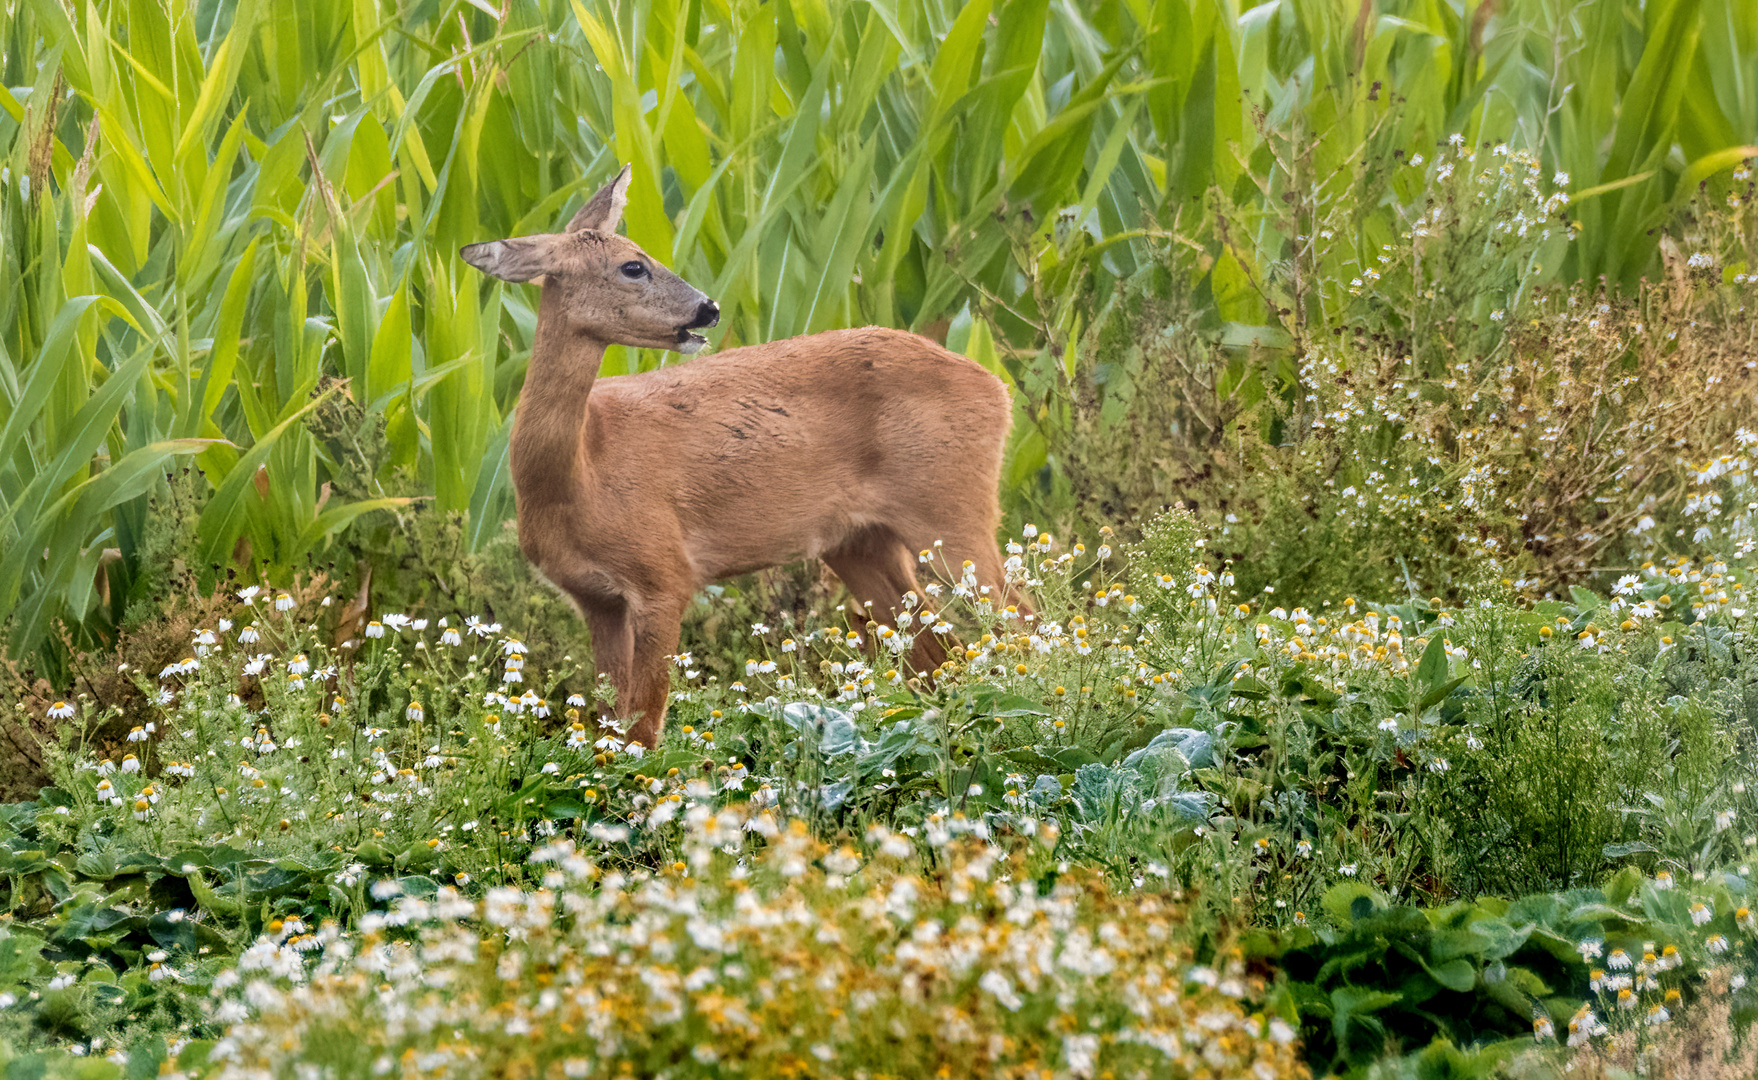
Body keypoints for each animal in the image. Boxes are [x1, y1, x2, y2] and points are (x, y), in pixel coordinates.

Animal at [460, 167, 1026, 752]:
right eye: (633, 266)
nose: (708, 308)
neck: (579, 476)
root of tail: (997, 386)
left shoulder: (665, 572)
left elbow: (643, 726)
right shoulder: (595, 598)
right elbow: (608, 723)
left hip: (950, 503)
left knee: (1017, 623)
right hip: (859, 541)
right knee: (936, 652)